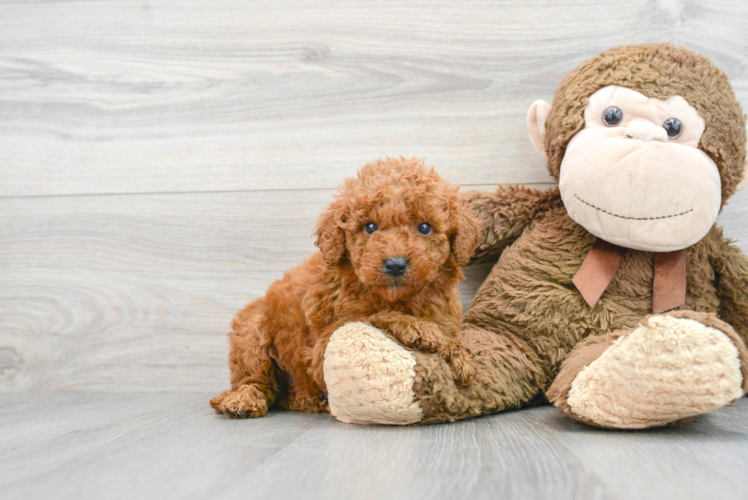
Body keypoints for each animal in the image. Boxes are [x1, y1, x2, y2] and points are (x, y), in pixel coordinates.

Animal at [210, 156, 482, 418]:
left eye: (425, 227)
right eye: (370, 226)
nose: (395, 265)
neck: (398, 298)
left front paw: (458, 353)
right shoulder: (324, 345)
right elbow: (376, 314)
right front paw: (423, 330)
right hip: (252, 333)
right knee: (254, 380)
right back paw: (244, 400)